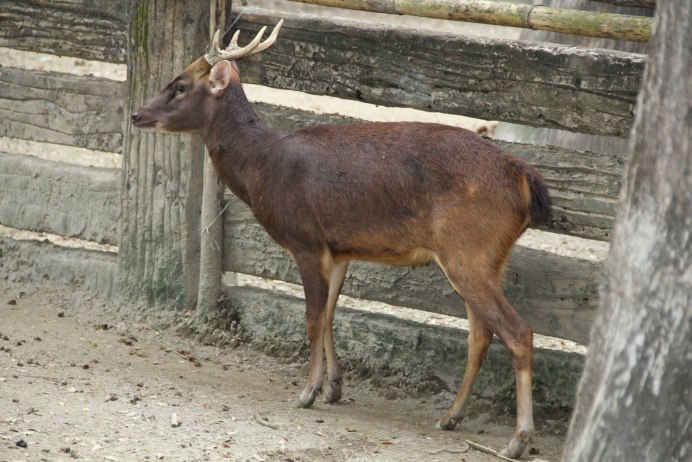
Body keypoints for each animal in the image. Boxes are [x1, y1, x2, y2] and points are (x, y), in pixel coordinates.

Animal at [131, 19, 552, 458]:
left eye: (180, 86)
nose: (136, 113)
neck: (262, 168)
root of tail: (525, 179)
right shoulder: (339, 248)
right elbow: (332, 313)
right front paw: (333, 387)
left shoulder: (305, 239)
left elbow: (313, 317)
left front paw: (305, 393)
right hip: (484, 258)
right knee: (481, 335)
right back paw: (451, 417)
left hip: (467, 250)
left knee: (517, 331)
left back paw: (518, 439)